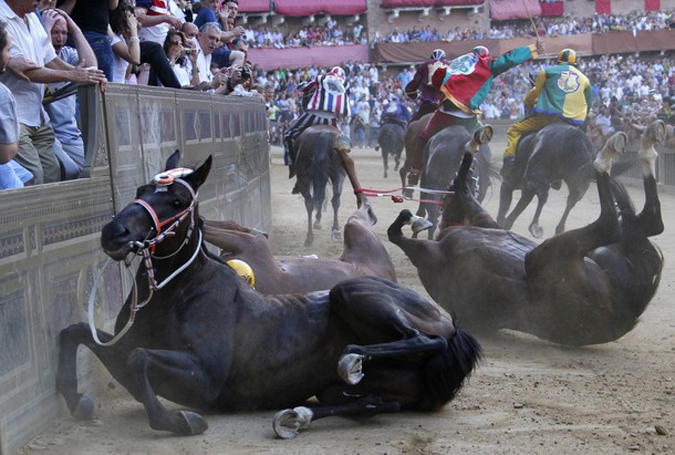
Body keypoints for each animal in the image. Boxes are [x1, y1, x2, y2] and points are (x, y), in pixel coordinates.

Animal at [388, 121, 668, 346]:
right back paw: (617, 153)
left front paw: (473, 146)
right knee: (627, 223)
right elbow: (396, 233)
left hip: (592, 252)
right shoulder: (433, 252)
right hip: (556, 254)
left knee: (638, 223)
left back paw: (639, 146)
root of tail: (625, 313)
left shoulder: (480, 220)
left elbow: (460, 189)